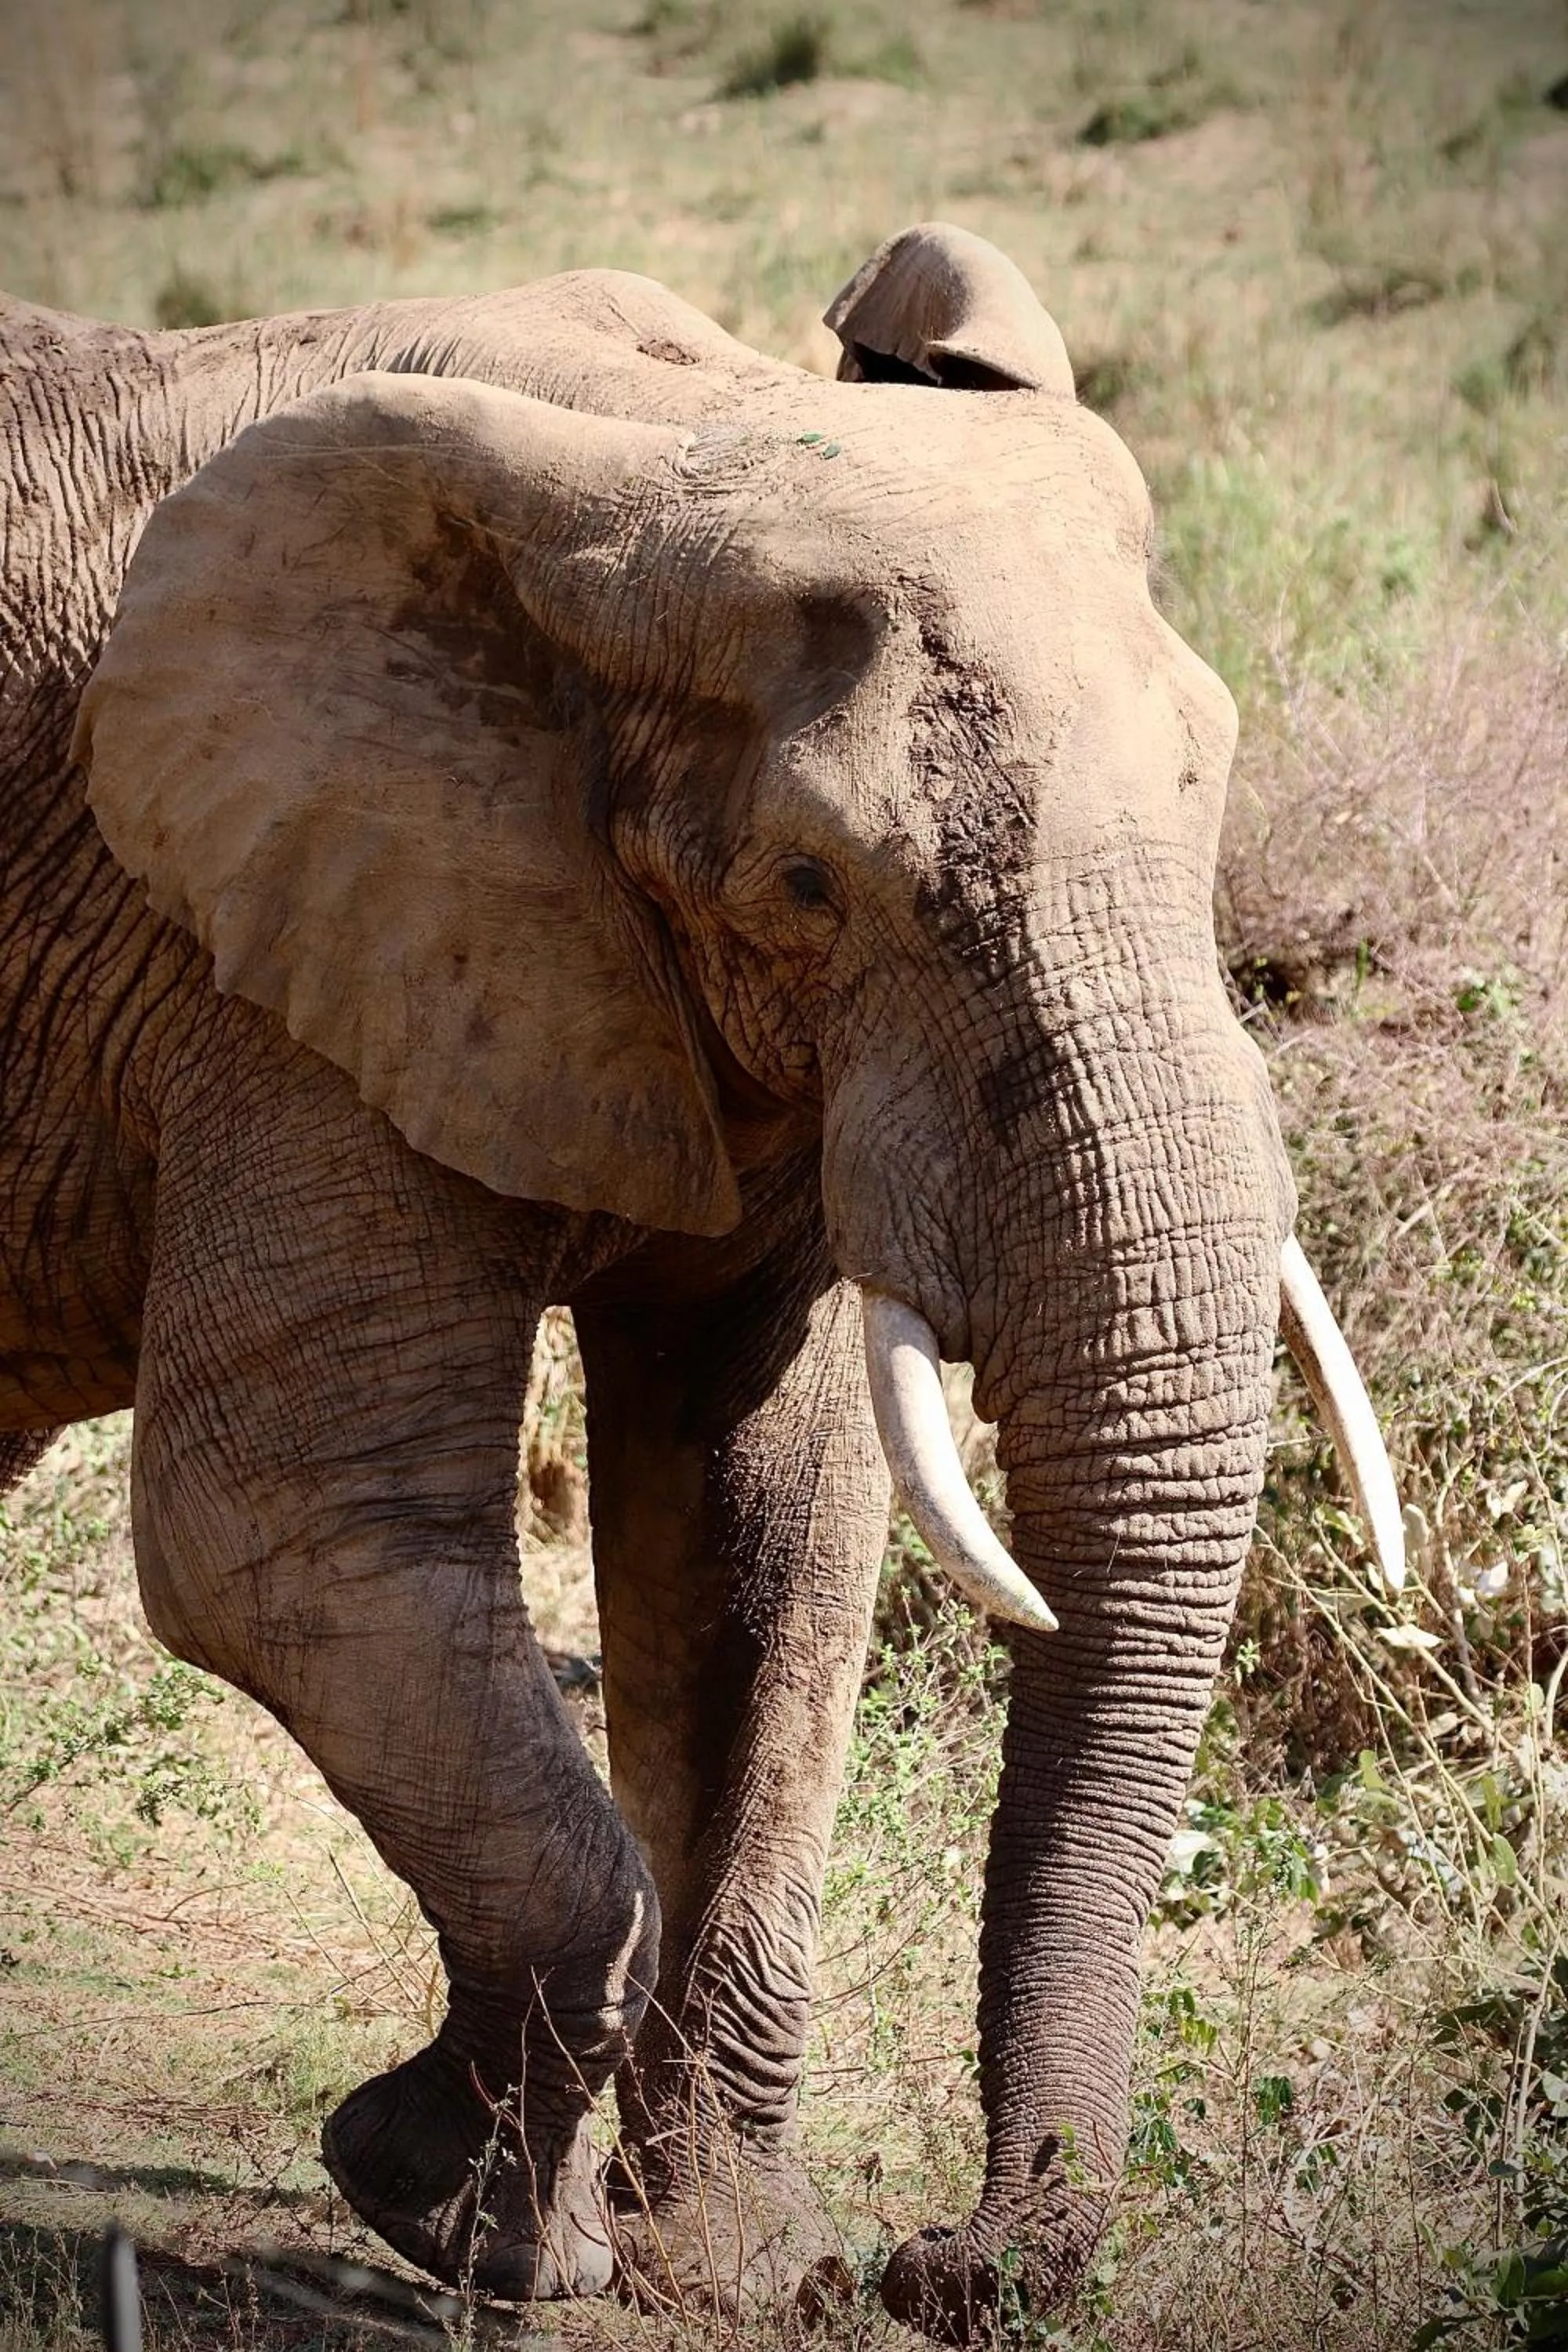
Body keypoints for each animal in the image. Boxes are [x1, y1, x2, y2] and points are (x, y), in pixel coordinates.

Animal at [0, 221, 1404, 2340]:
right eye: (813, 883)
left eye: (1213, 792)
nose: (938, 2263)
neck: (656, 461)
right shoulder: (268, 945)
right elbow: (284, 1531)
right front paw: (455, 2215)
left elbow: (765, 1535)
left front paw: (732, 2268)